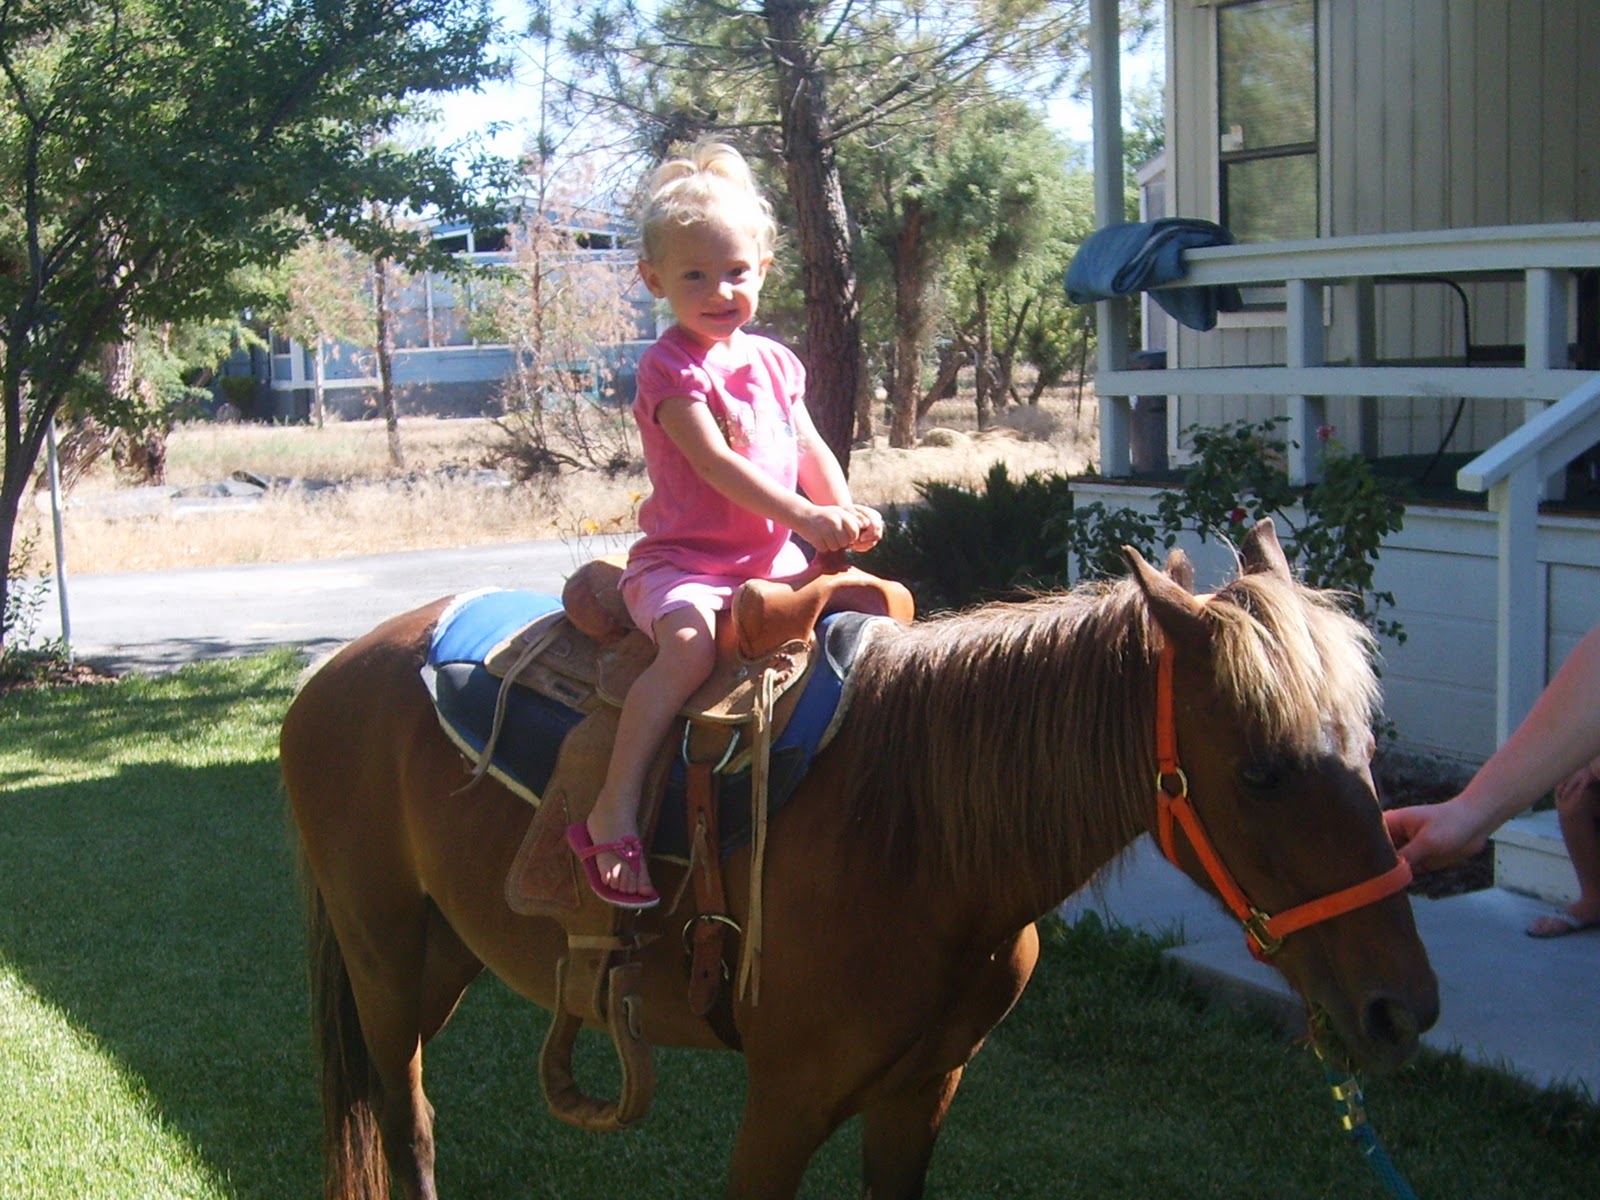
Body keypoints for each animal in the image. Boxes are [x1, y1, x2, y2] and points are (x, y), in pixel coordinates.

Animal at [282, 520, 1439, 1200]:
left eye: (1367, 747)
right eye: (1259, 772)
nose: (1403, 1008)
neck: (918, 842)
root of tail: (333, 672)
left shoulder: (919, 1094)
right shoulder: (783, 1107)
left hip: (444, 959)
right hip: (385, 961)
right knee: (405, 1122)